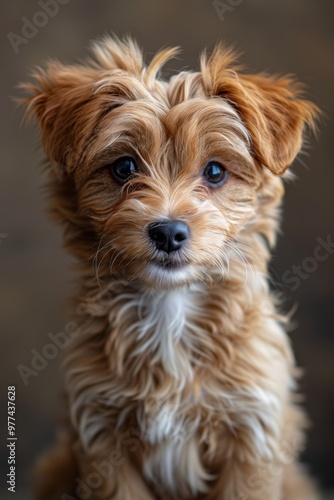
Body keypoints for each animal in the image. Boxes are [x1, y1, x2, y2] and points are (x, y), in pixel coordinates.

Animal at [20, 37, 318, 498]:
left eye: (215, 172)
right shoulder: (99, 433)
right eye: (124, 167)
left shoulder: (254, 433)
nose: (168, 232)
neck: (171, 306)